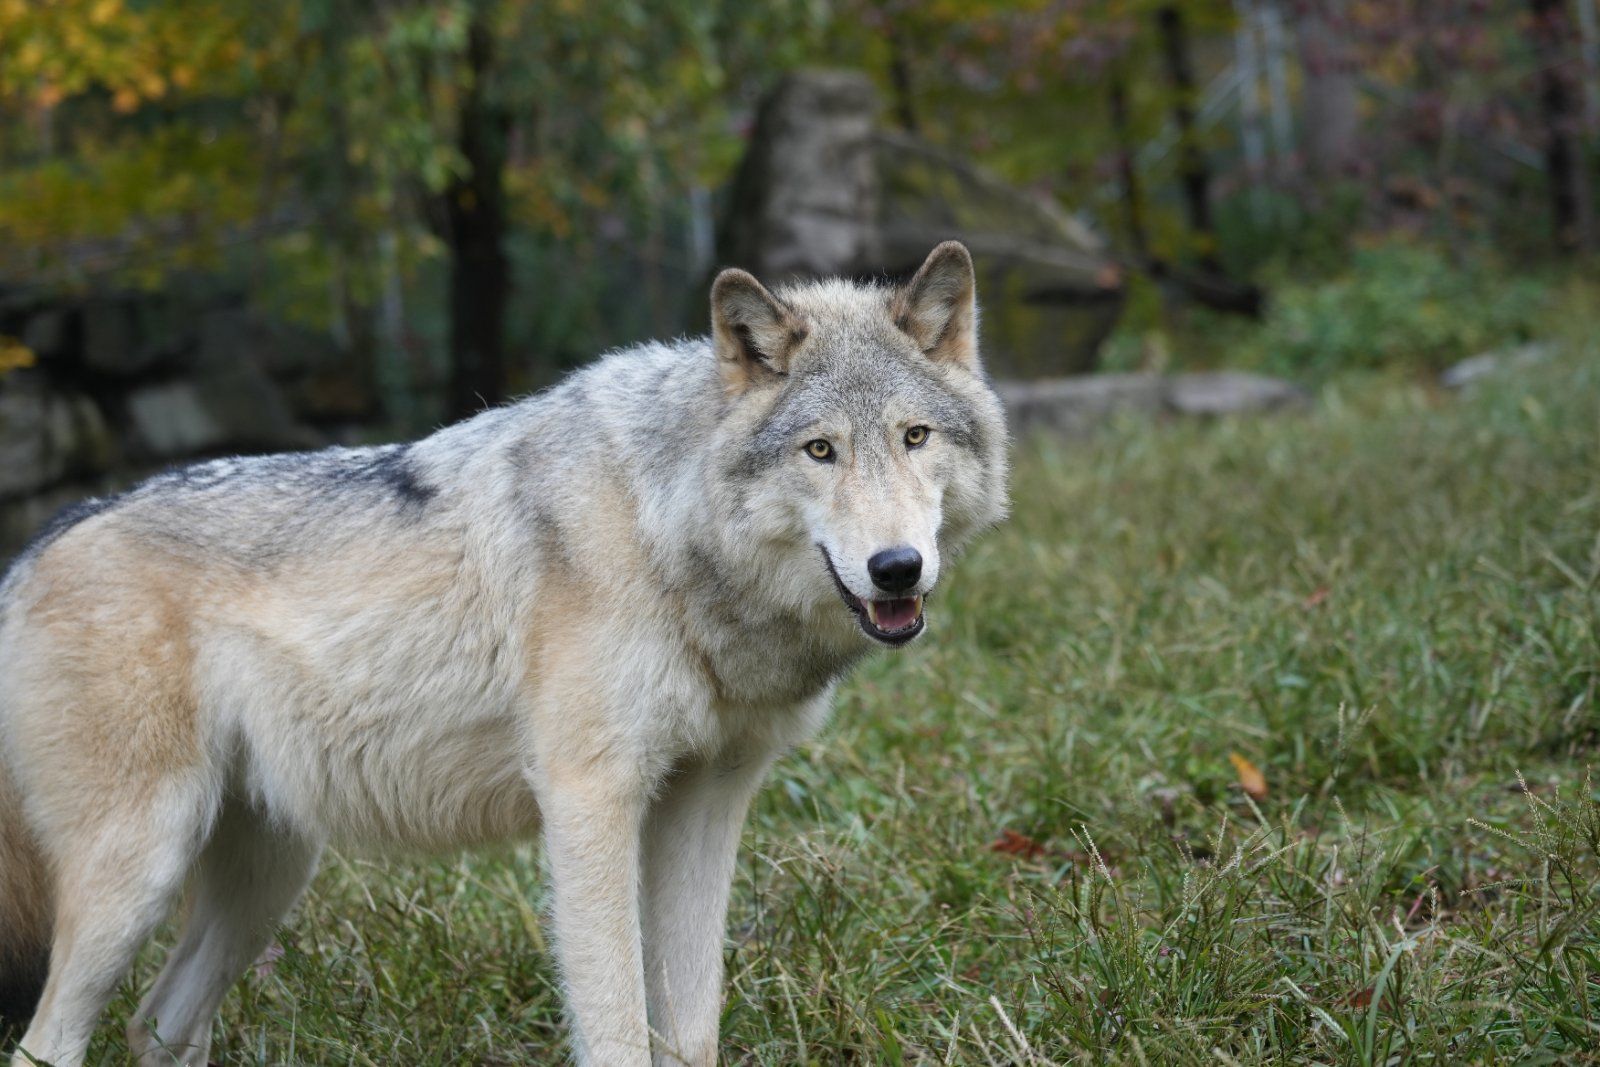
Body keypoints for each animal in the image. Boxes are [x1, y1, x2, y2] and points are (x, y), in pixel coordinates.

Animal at [0, 241, 1007, 1066]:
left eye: (914, 437)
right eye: (820, 450)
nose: (896, 567)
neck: (666, 535)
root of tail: (33, 546)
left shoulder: (708, 802)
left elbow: (690, 1030)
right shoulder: (589, 798)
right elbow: (616, 1028)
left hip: (265, 880)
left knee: (159, 1023)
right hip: (139, 874)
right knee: (45, 1045)